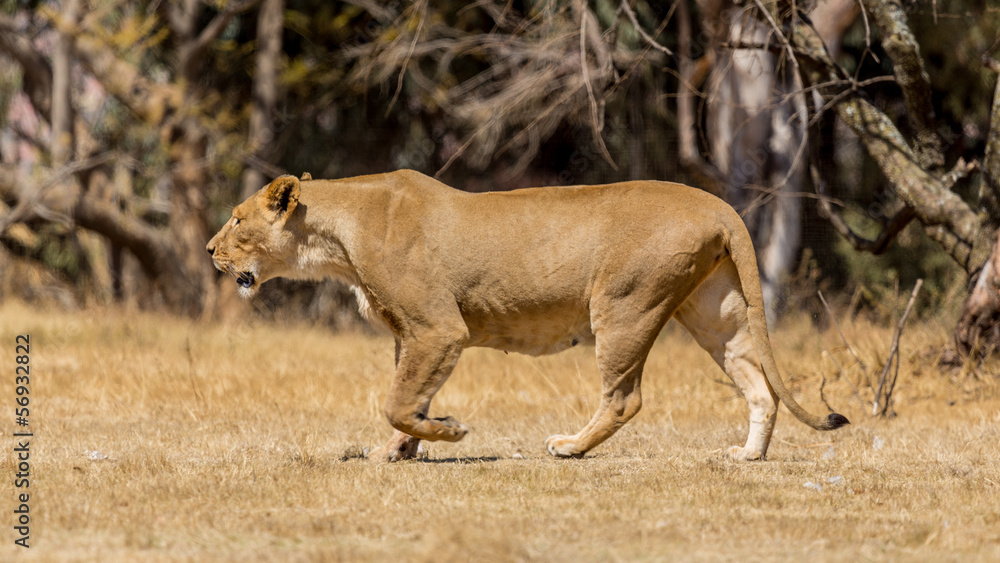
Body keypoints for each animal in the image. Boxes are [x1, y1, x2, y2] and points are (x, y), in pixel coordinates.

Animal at [207, 170, 848, 462]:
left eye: (237, 219)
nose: (211, 250)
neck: (336, 237)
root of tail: (716, 203)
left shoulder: (440, 328)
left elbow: (397, 400)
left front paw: (449, 433)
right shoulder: (411, 334)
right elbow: (408, 397)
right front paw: (399, 451)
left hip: (624, 306)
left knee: (625, 397)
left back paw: (570, 447)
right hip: (713, 311)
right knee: (757, 382)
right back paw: (748, 455)